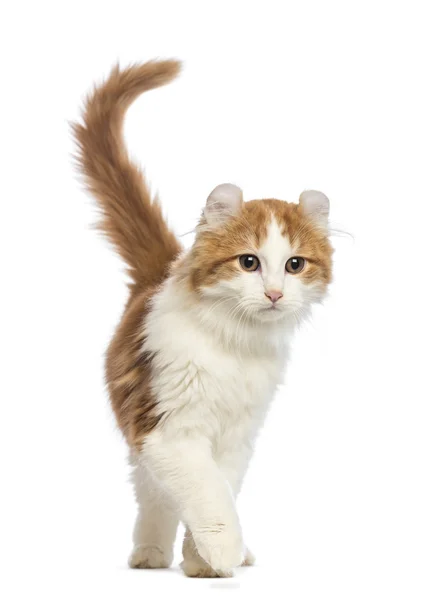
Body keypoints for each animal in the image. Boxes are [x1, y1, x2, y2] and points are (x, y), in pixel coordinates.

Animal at [71, 59, 334, 576]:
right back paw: (150, 554)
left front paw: (203, 561)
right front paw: (221, 549)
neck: (236, 343)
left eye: (295, 265)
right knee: (153, 498)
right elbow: (207, 494)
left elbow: (222, 489)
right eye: (249, 262)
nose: (274, 294)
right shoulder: (168, 429)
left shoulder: (238, 437)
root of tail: (154, 278)